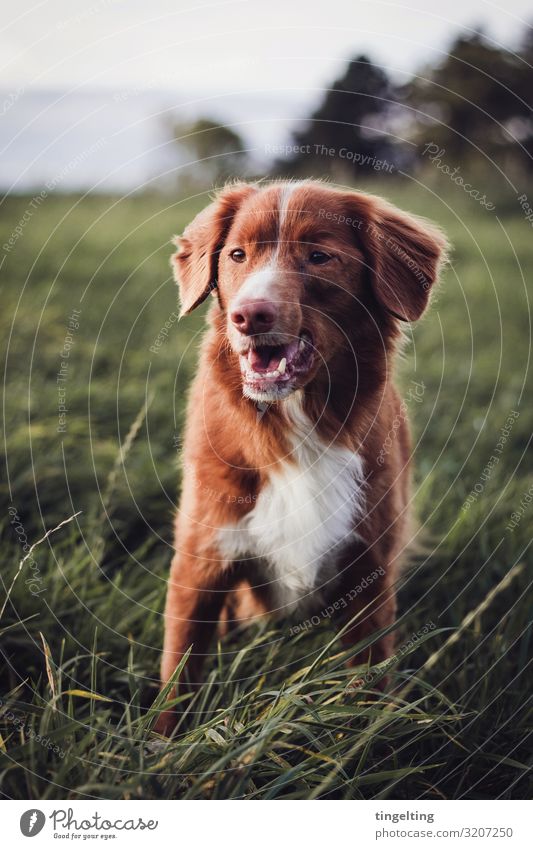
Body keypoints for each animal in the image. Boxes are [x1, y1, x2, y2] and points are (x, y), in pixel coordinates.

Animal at [156, 181, 446, 736]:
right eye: (237, 255)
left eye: (319, 257)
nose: (248, 315)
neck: (296, 429)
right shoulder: (200, 562)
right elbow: (178, 675)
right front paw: (162, 747)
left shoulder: (368, 570)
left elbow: (369, 685)